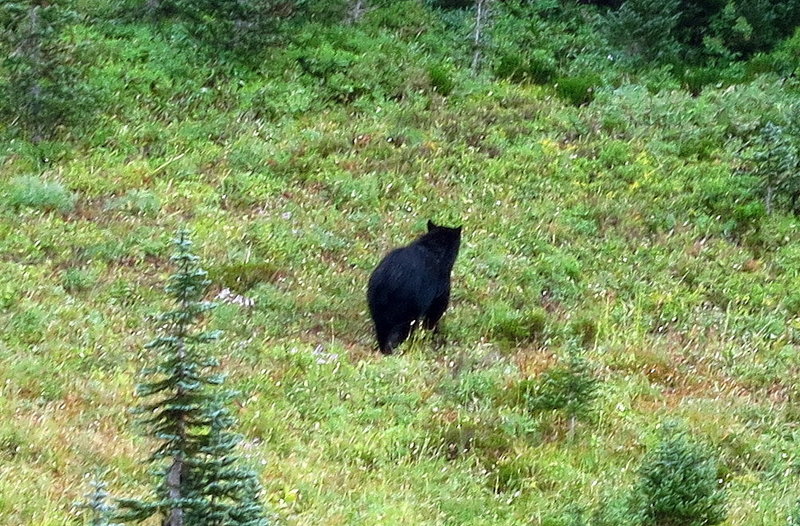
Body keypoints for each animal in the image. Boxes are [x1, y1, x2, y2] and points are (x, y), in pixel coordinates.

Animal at [364, 219, 460, 354]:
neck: (435, 249)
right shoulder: (441, 287)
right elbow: (435, 312)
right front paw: (433, 333)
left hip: (376, 305)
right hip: (406, 309)